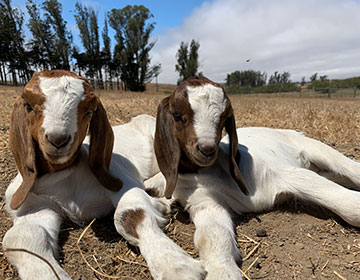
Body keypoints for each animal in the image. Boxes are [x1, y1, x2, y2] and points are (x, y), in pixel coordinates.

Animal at [2, 70, 207, 280]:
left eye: (89, 111)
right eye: (28, 106)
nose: (58, 140)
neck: (67, 175)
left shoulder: (121, 180)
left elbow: (130, 215)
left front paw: (176, 266)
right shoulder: (36, 204)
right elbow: (19, 238)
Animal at [144, 75, 360, 278]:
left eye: (223, 118)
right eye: (177, 115)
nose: (206, 149)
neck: (211, 172)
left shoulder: (288, 174)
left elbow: (350, 206)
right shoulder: (205, 202)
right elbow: (212, 236)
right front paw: (222, 272)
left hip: (315, 148)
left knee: (349, 168)